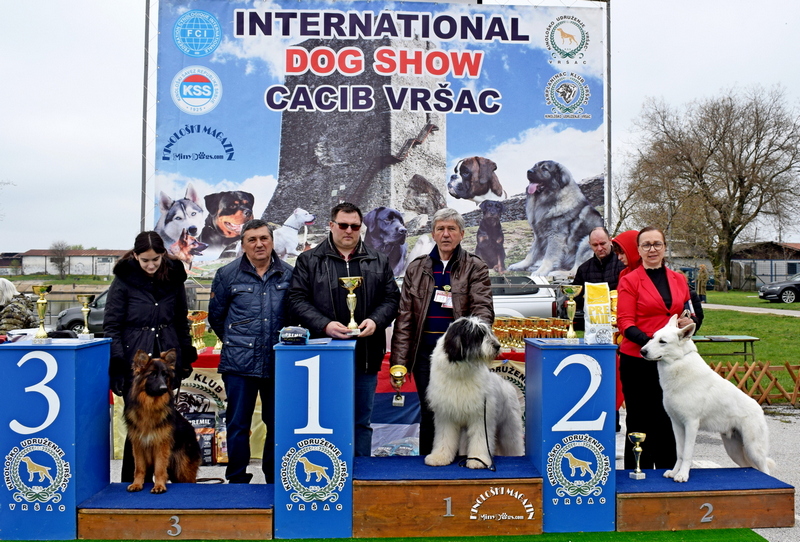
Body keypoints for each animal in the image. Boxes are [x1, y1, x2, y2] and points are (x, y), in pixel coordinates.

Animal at [124, 349, 201, 493]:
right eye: (153, 374)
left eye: (165, 375)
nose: (164, 388)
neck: (150, 407)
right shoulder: (138, 445)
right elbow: (139, 468)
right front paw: (137, 484)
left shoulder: (161, 445)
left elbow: (159, 468)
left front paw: (159, 486)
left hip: (183, 469)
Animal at [425, 317, 524, 469]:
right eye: (478, 335)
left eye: (488, 332)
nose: (497, 346)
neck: (460, 374)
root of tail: (507, 384)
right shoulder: (446, 416)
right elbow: (444, 438)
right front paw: (439, 457)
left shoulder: (480, 416)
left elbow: (480, 439)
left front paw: (478, 460)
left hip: (509, 425)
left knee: (514, 443)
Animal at [640, 315, 775, 482]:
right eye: (652, 337)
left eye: (662, 341)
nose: (642, 351)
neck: (679, 362)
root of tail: (759, 409)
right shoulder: (676, 424)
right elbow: (680, 453)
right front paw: (674, 472)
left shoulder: (691, 424)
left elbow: (687, 454)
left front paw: (682, 475)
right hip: (734, 450)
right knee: (749, 466)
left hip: (753, 449)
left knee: (765, 470)